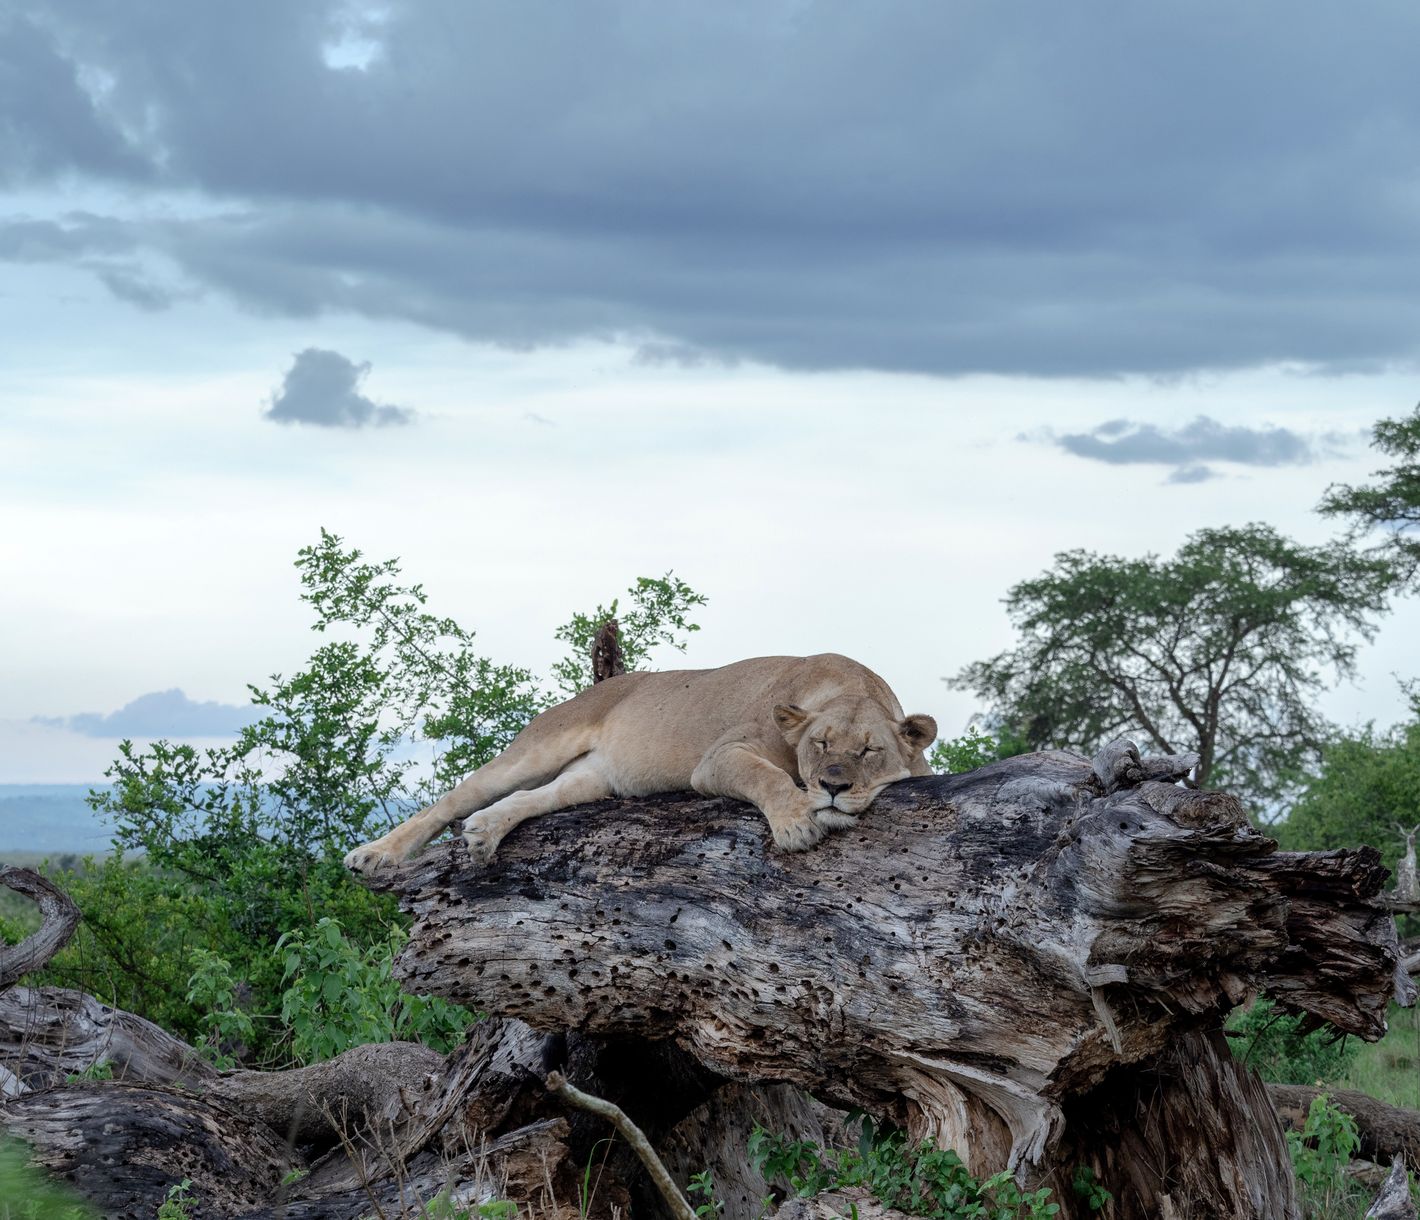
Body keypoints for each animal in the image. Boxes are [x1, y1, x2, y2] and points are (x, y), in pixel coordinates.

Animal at [343, 653, 937, 872]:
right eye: (820, 744)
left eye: (868, 750)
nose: (833, 786)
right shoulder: (717, 759)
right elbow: (765, 774)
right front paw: (795, 822)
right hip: (538, 746)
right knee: (450, 800)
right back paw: (373, 854)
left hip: (592, 778)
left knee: (533, 799)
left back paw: (485, 833)